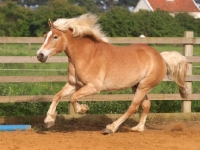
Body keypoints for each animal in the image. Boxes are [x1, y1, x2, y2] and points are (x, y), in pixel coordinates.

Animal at [36, 13, 188, 134]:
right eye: (45, 36)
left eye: (55, 37)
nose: (40, 55)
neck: (86, 55)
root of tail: (161, 57)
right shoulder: (74, 84)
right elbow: (57, 96)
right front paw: (49, 121)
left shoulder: (93, 87)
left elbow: (72, 98)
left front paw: (84, 109)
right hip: (137, 86)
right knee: (146, 105)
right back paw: (137, 128)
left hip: (144, 86)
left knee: (133, 107)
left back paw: (111, 128)